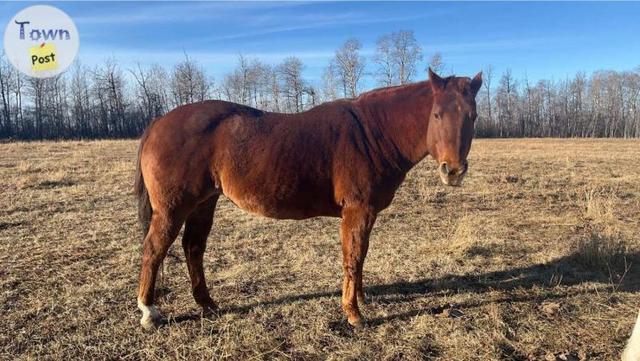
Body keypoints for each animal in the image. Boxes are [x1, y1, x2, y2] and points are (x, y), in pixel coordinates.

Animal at [134, 68, 480, 330]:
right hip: (173, 208)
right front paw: (353, 313)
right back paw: (149, 312)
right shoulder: (357, 210)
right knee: (154, 250)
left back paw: (207, 304)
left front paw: (361, 298)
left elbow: (361, 256)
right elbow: (353, 256)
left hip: (204, 203)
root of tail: (158, 122)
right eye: (437, 114)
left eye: (472, 116)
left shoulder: (366, 213)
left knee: (193, 248)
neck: (372, 133)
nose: (453, 171)